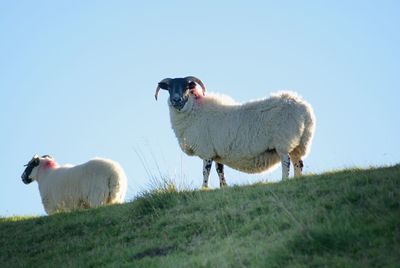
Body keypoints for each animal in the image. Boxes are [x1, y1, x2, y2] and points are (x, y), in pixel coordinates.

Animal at [155, 75, 316, 188]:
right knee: (298, 163)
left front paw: (204, 188)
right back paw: (297, 179)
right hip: (299, 143)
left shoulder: (207, 151)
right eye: (169, 88)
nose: (176, 100)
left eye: (186, 87)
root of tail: (304, 109)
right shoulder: (217, 153)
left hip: (284, 141)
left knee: (286, 162)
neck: (196, 111)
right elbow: (220, 171)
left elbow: (206, 171)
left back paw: (284, 180)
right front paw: (223, 187)